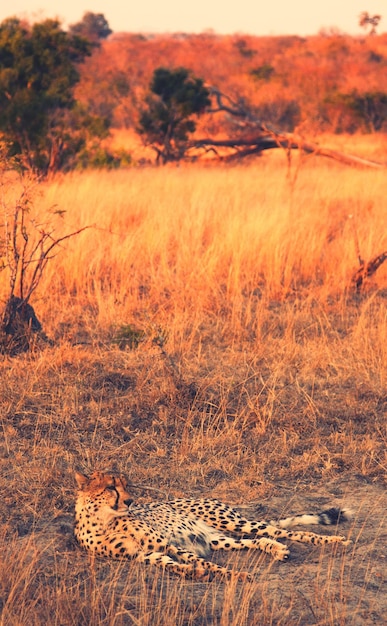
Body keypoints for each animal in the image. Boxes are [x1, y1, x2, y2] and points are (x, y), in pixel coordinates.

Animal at [74, 468, 354, 580]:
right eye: (111, 487)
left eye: (126, 485)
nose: (131, 501)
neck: (105, 521)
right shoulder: (141, 554)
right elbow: (169, 565)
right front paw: (192, 572)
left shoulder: (167, 544)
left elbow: (205, 562)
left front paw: (235, 576)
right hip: (217, 538)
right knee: (258, 540)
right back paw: (277, 549)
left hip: (232, 522)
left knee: (281, 530)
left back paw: (335, 540)